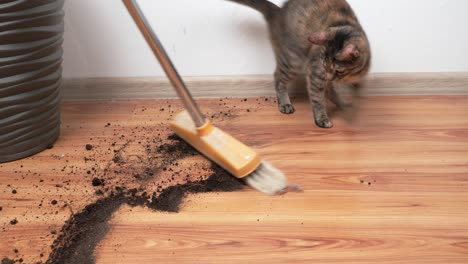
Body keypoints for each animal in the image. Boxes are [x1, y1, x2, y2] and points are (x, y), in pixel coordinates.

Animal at [225, 0, 372, 128]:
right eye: (324, 64)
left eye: (338, 70)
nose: (328, 77)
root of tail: (280, 12)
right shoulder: (316, 73)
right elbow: (318, 99)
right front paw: (322, 118)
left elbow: (350, 93)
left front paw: (347, 107)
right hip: (293, 61)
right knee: (278, 77)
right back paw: (285, 103)